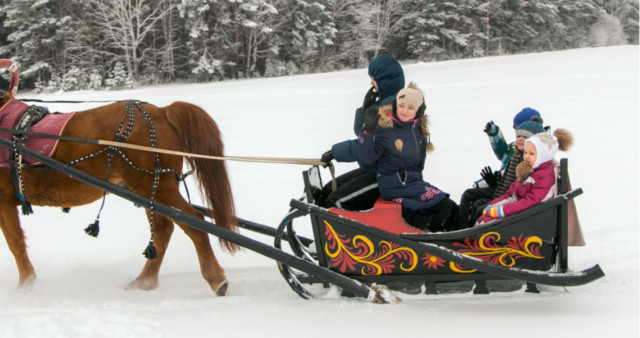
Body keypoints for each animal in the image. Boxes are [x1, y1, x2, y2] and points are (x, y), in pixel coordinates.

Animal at [0, 80, 238, 294]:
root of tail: (162, 112)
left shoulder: (4, 203)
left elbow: (14, 243)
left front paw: (26, 286)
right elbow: (15, 242)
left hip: (157, 188)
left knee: (193, 222)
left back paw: (215, 278)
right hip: (151, 191)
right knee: (163, 229)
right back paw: (145, 281)